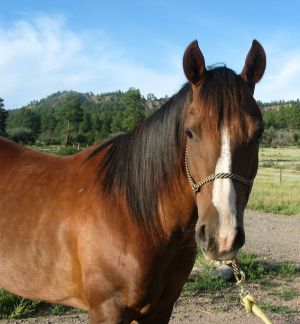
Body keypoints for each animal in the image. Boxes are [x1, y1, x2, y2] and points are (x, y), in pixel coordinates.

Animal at [0, 39, 266, 322]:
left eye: (258, 133)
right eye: (190, 132)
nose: (222, 237)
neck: (135, 215)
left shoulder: (161, 309)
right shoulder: (108, 310)